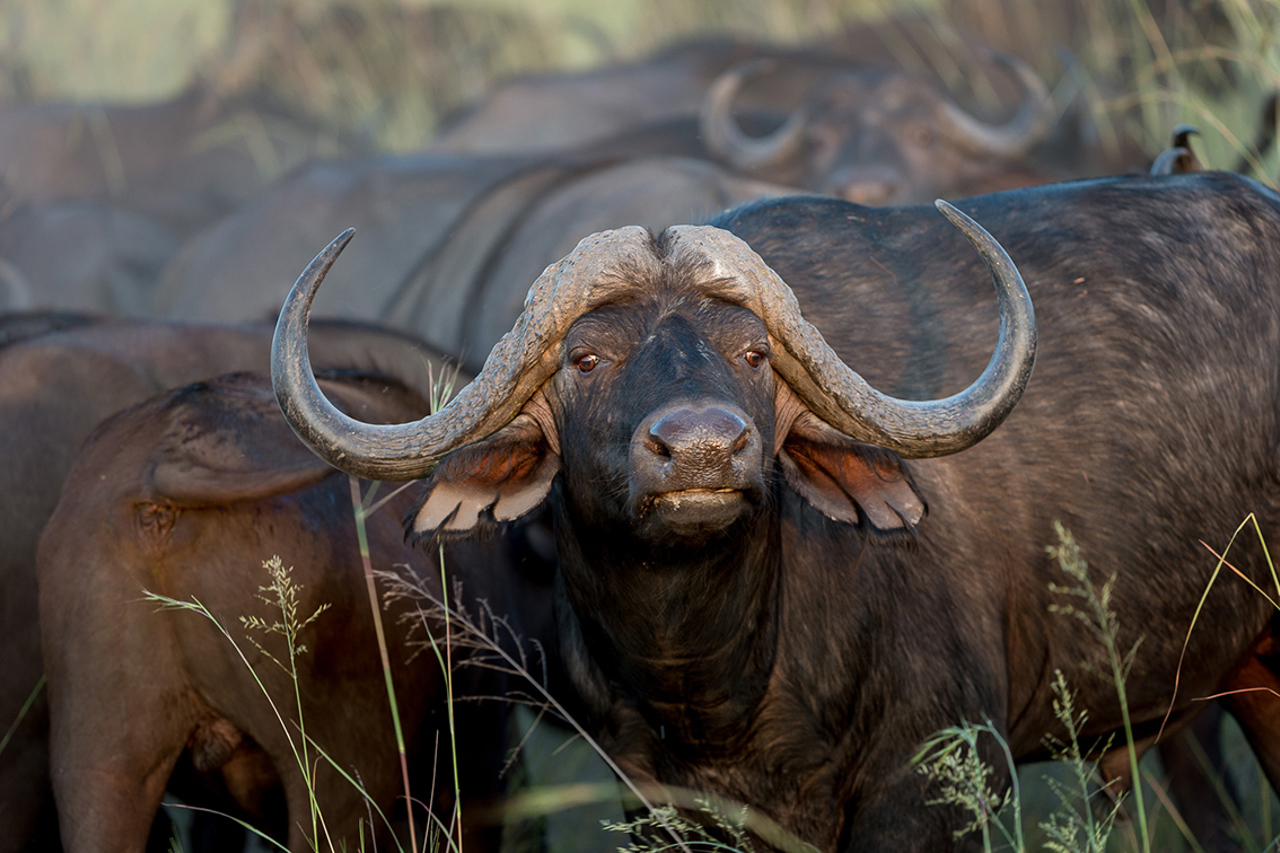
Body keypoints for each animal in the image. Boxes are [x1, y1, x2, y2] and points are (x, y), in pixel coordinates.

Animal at [274, 171, 1280, 850]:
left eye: (753, 353)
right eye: (586, 359)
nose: (703, 449)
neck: (719, 682)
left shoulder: (936, 787)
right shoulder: (662, 808)